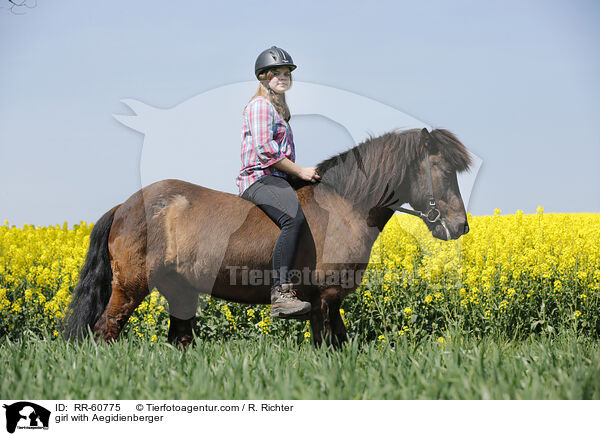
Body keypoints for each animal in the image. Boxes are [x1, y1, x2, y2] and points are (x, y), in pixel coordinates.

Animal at [63, 127, 472, 348]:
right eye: (442, 169)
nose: (459, 226)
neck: (344, 205)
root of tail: (126, 205)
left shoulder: (326, 301)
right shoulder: (326, 298)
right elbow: (331, 345)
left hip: (179, 289)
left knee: (179, 337)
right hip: (131, 286)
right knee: (104, 330)